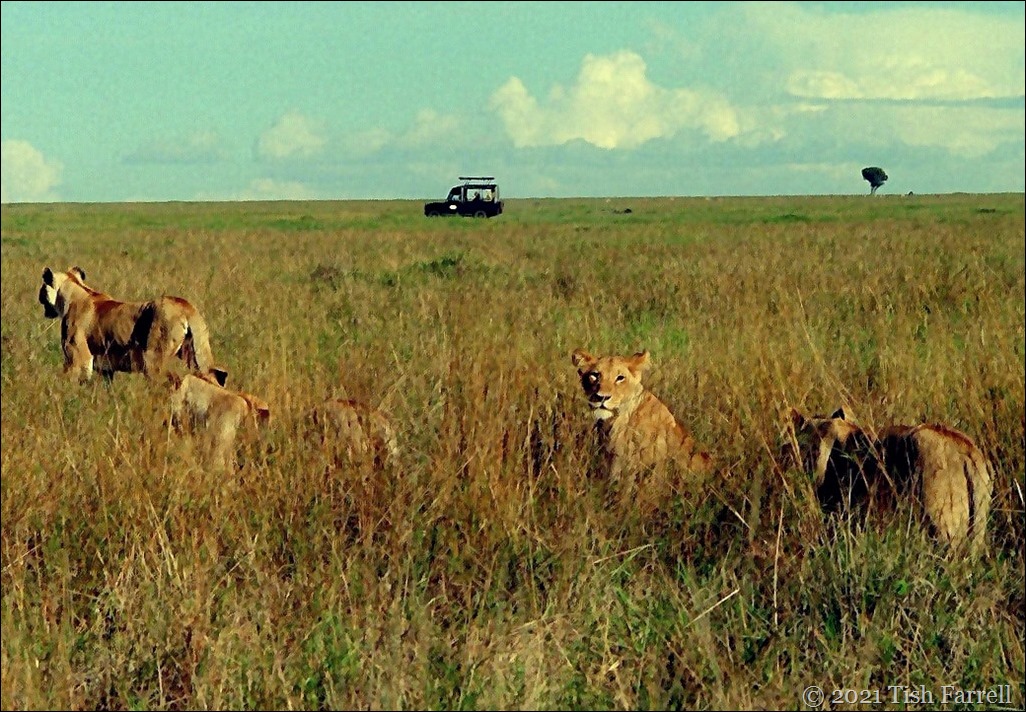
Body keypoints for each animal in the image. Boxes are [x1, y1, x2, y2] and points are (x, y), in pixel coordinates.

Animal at [38, 266, 228, 385]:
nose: (40, 300)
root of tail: (185, 306)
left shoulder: (79, 358)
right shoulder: (106, 368)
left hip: (152, 360)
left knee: (174, 381)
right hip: (195, 354)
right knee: (213, 377)